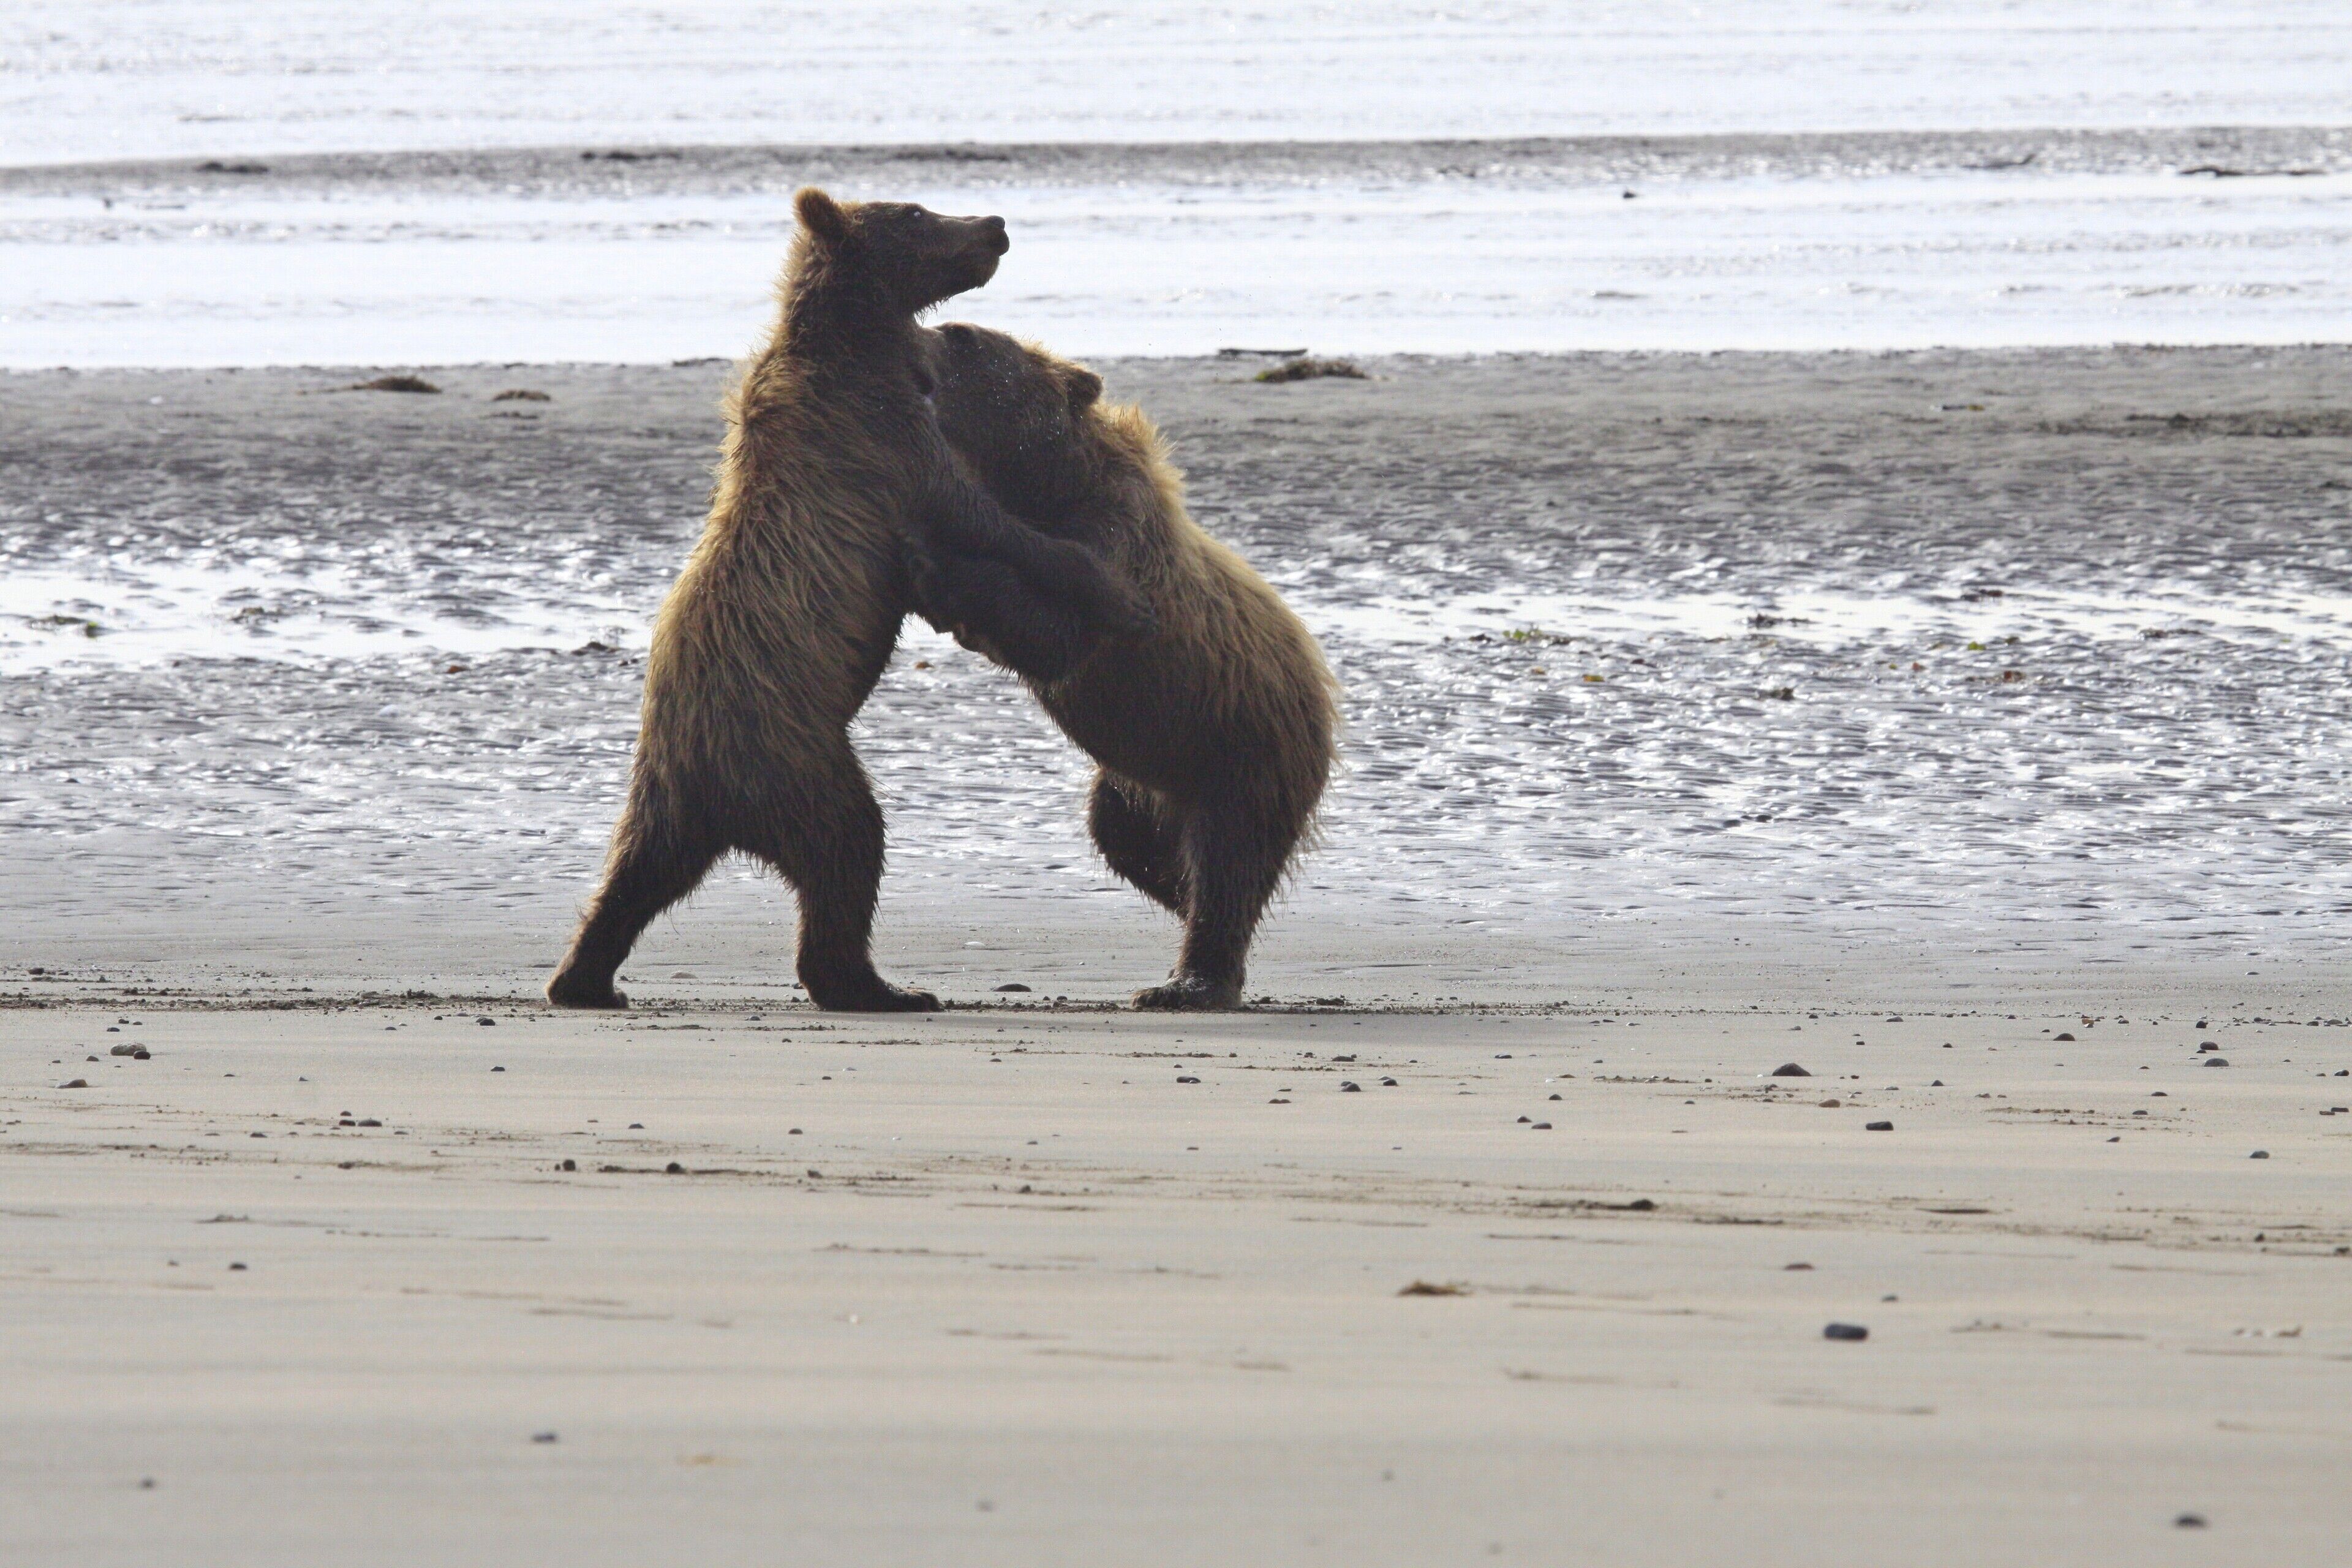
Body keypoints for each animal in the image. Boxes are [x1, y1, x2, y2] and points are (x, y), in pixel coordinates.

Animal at [547, 191, 1149, 1013]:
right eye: (920, 213)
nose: (994, 224)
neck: (858, 343)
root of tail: (715, 798)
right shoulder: (879, 434)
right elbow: (975, 511)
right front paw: (1085, 571)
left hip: (666, 790)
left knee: (636, 875)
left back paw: (584, 980)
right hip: (791, 749)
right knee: (850, 846)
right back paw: (879, 985)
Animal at [907, 322, 1339, 1010]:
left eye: (963, 337)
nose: (916, 336)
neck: (1043, 482)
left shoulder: (1120, 535)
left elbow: (1056, 631)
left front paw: (939, 565)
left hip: (1245, 748)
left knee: (1230, 858)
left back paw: (1191, 980)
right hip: (1143, 779)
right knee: (1130, 844)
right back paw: (1193, 926)